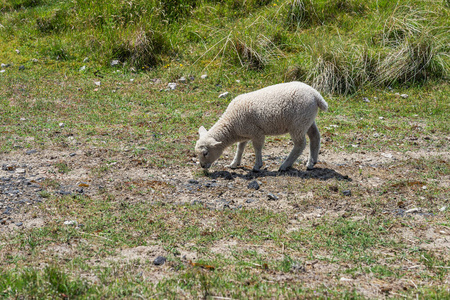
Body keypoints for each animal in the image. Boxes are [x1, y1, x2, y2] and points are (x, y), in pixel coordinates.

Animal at [195, 81, 328, 171]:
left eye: (205, 153)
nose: (202, 166)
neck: (231, 124)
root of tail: (316, 95)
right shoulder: (245, 133)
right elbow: (240, 147)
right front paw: (234, 163)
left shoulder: (256, 132)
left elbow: (257, 147)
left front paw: (257, 165)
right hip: (307, 120)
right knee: (315, 137)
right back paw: (311, 162)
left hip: (298, 123)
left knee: (300, 145)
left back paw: (285, 165)